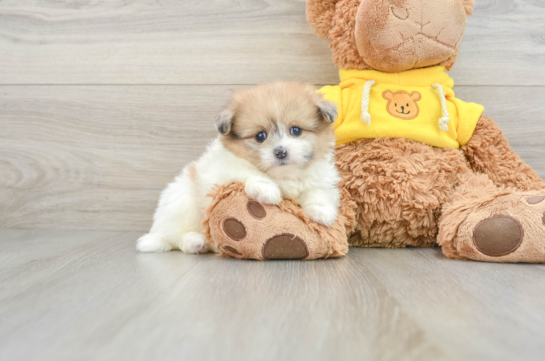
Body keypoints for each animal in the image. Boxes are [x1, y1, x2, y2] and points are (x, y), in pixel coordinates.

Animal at [136, 81, 340, 253]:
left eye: (296, 130)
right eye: (260, 136)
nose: (280, 152)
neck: (283, 175)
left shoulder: (321, 176)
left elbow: (318, 191)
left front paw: (322, 212)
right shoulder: (225, 169)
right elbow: (248, 170)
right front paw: (266, 190)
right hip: (182, 202)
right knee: (177, 238)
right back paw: (195, 242)